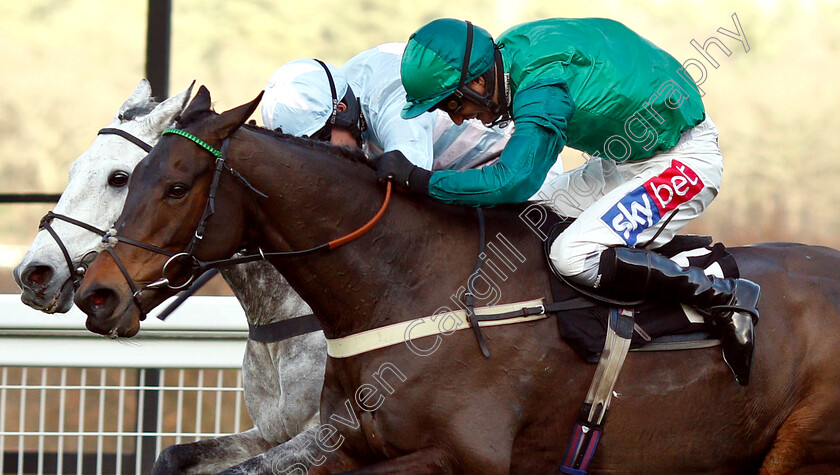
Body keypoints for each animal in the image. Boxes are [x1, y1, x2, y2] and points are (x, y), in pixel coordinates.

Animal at [74, 86, 840, 475]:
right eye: (131, 179)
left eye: (171, 185)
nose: (93, 292)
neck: (406, 286)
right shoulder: (339, 443)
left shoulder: (464, 459)